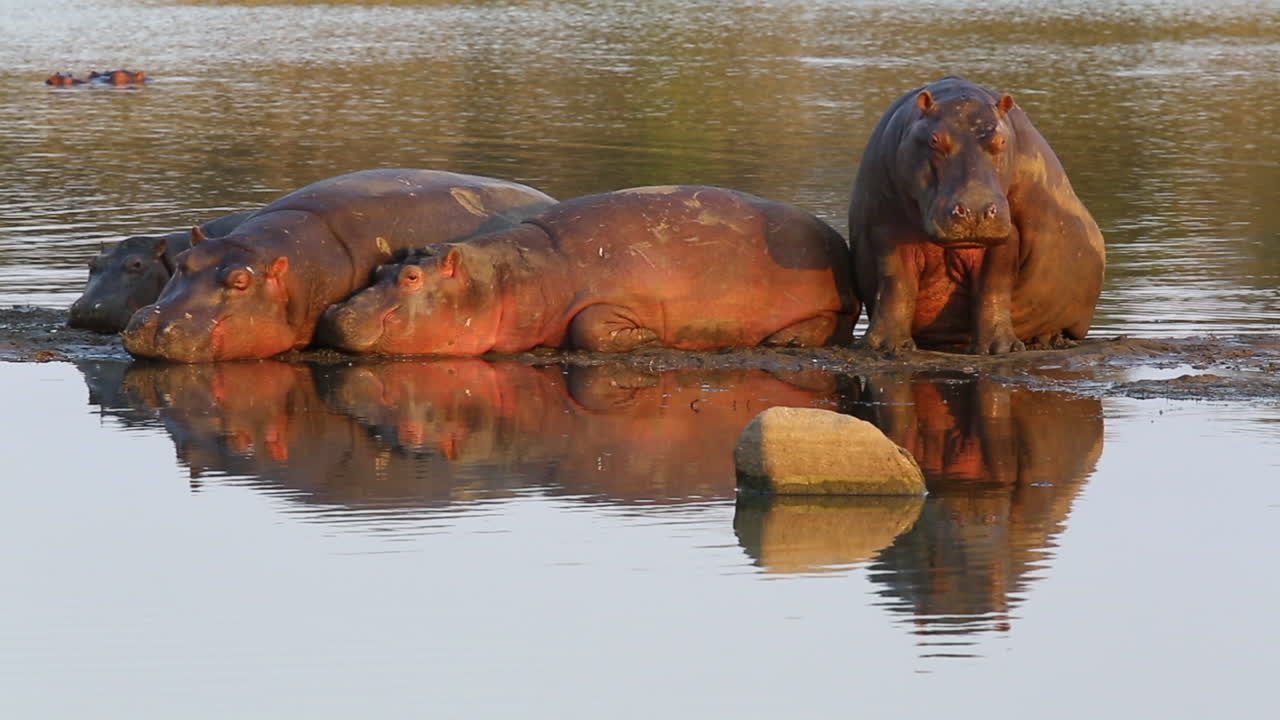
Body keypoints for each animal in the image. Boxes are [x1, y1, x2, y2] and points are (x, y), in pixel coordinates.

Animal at [317, 183, 860, 353]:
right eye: (380, 271)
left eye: (412, 279)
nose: (334, 315)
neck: (510, 279)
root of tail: (837, 241)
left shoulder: (612, 298)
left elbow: (589, 328)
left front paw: (649, 338)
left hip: (831, 301)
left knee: (828, 323)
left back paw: (784, 341)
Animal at [844, 74, 1105, 351]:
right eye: (934, 140)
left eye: (1001, 140)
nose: (975, 210)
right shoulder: (886, 227)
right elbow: (896, 284)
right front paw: (882, 346)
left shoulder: (1007, 236)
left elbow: (993, 286)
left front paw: (1000, 349)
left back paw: (1047, 340)